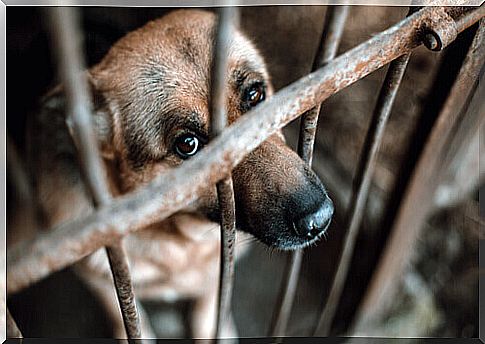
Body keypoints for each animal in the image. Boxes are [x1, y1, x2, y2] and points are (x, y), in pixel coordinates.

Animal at [27, 9, 332, 340]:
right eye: (187, 145)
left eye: (255, 95)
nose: (319, 219)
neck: (179, 242)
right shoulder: (101, 281)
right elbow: (125, 316)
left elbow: (209, 305)